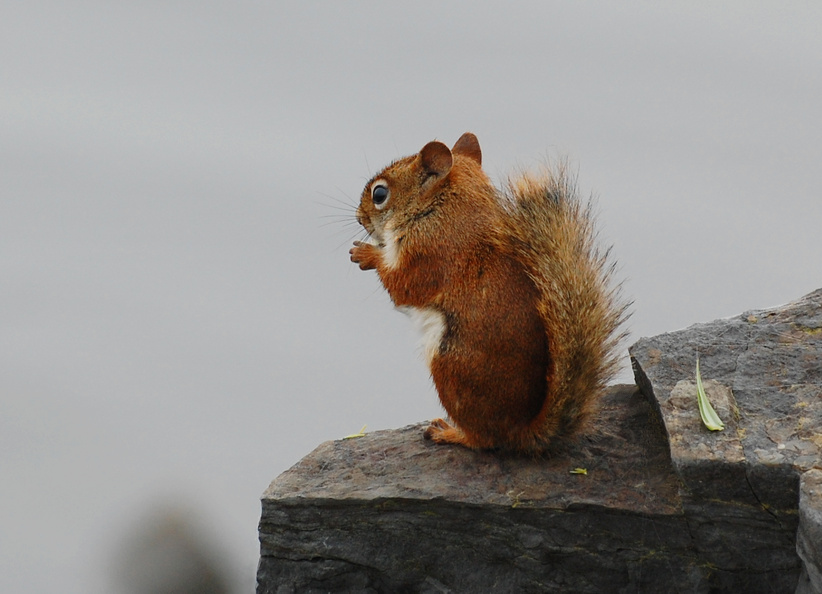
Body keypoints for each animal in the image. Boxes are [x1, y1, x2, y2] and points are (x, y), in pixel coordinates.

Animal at [350, 132, 628, 450]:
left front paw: (368, 254)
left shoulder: (430, 251)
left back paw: (450, 432)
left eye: (379, 195)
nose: (359, 218)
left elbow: (403, 285)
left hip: (450, 367)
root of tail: (521, 432)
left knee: (484, 440)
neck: (446, 207)